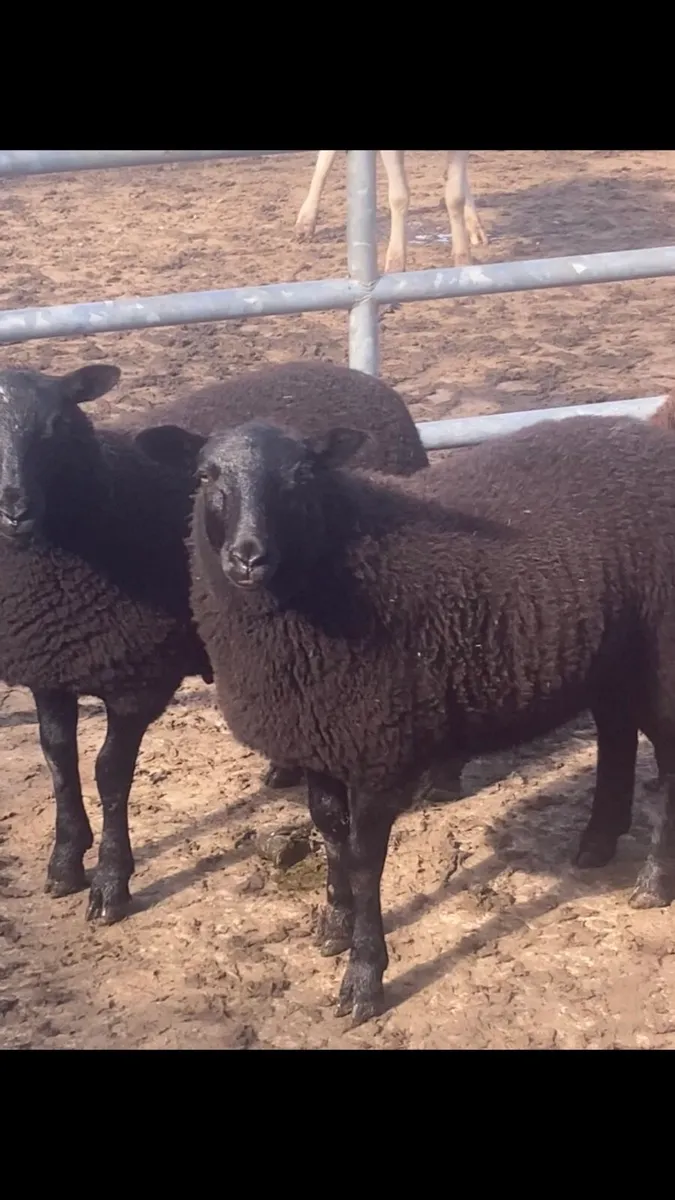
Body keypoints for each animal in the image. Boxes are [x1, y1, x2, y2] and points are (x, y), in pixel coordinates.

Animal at [0, 364, 213, 925]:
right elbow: (58, 756)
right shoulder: (49, 666)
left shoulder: (140, 680)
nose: (14, 509)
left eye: (56, 424)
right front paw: (65, 863)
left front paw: (111, 884)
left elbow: (110, 772)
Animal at [188, 413, 675, 1026]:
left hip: (660, 662)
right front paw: (334, 927)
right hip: (611, 661)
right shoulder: (316, 736)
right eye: (205, 475)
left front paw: (363, 978)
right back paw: (597, 842)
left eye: (302, 476)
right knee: (616, 736)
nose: (248, 557)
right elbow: (330, 833)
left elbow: (365, 859)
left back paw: (654, 881)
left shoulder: (378, 745)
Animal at [295, 151, 488, 271]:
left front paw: (463, 259)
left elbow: (455, 196)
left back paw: (475, 229)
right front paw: (395, 262)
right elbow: (399, 195)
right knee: (324, 159)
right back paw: (305, 223)